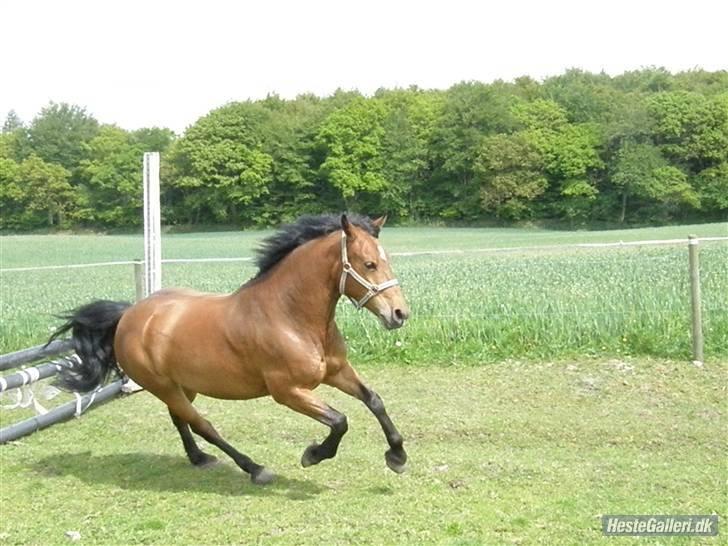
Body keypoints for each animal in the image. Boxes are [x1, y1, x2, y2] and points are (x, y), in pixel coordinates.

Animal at [48, 215, 410, 482]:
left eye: (385, 261)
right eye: (369, 264)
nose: (400, 314)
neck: (290, 316)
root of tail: (129, 315)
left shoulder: (336, 372)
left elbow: (374, 400)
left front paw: (397, 456)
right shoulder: (287, 391)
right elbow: (339, 420)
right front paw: (313, 455)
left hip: (183, 385)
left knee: (180, 419)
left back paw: (199, 459)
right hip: (164, 386)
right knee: (202, 425)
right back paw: (254, 469)